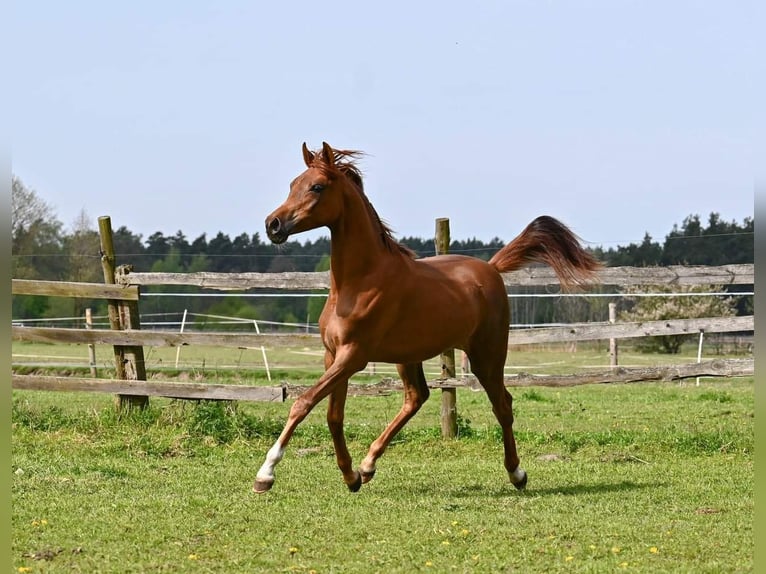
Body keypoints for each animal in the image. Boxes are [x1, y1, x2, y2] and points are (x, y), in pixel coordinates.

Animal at [255, 142, 601, 493]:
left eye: (317, 187)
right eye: (292, 184)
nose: (273, 224)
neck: (360, 281)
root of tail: (491, 268)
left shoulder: (353, 356)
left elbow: (303, 403)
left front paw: (266, 474)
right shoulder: (332, 354)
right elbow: (333, 415)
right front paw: (351, 477)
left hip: (487, 355)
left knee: (502, 405)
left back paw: (517, 473)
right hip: (408, 356)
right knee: (416, 397)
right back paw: (368, 466)